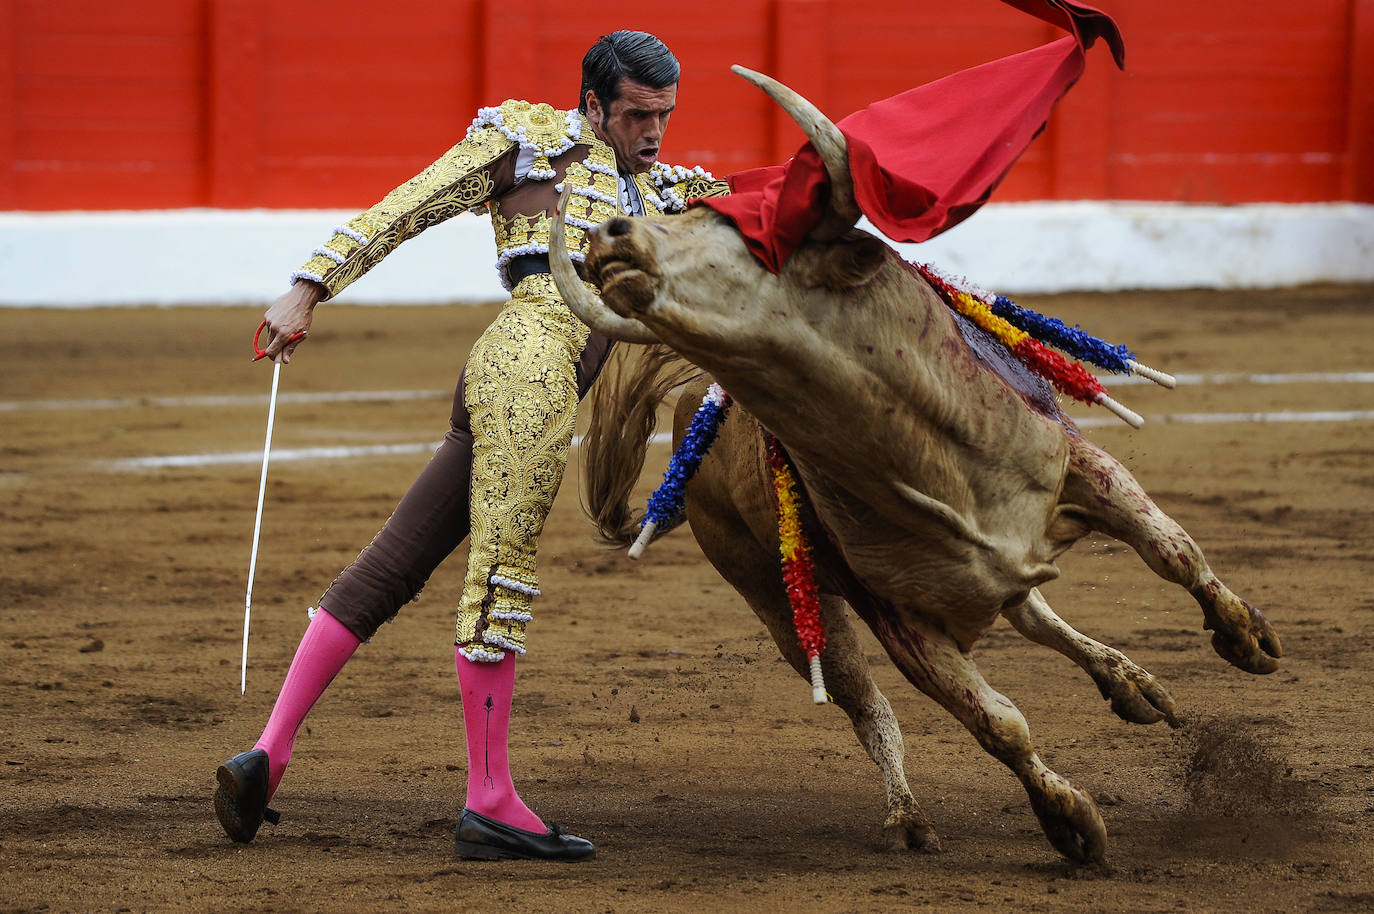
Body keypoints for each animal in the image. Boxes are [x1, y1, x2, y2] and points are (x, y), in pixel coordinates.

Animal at [544, 65, 1275, 863]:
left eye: (736, 240)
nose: (608, 232)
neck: (928, 452)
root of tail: (692, 409)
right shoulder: (899, 615)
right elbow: (996, 721)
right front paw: (1070, 821)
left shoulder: (1080, 463)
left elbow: (1173, 548)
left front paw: (1245, 635)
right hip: (774, 593)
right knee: (870, 698)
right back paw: (908, 815)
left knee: (1036, 614)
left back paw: (1133, 685)